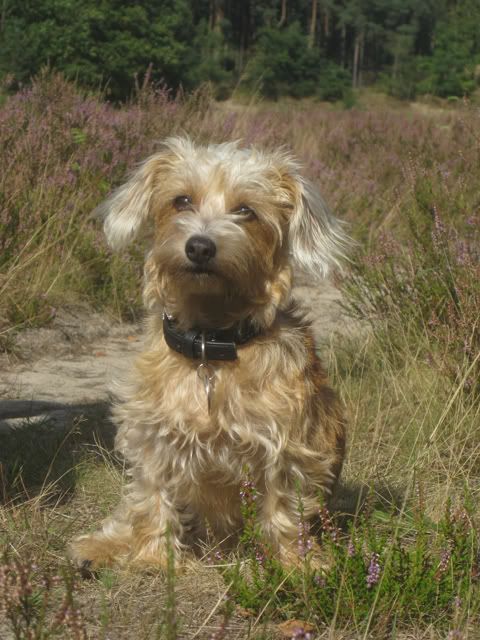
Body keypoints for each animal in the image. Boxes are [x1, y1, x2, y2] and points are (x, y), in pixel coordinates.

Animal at [70, 137, 348, 570]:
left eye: (246, 210)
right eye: (181, 200)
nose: (200, 246)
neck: (210, 344)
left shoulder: (288, 445)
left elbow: (284, 506)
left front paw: (296, 564)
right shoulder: (153, 436)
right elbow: (152, 498)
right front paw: (154, 560)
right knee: (128, 513)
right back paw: (99, 547)